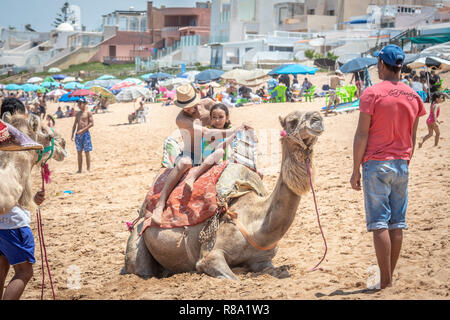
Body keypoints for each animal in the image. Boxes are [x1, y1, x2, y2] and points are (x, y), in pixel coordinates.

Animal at [125, 110, 324, 280]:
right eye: (292, 121)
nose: (318, 118)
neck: (255, 224)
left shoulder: (263, 260)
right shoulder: (210, 255)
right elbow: (232, 278)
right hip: (138, 239)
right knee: (141, 269)